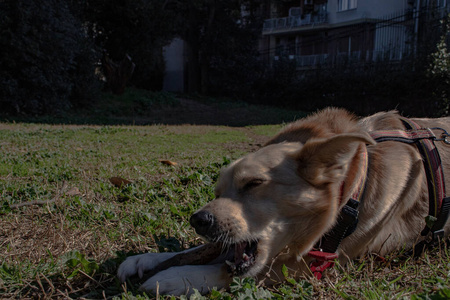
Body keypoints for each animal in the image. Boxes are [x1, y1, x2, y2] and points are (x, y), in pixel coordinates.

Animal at [117, 107, 450, 296]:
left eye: (253, 184)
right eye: (217, 193)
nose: (198, 219)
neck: (353, 186)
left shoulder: (316, 266)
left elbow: (230, 271)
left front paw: (173, 277)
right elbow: (202, 250)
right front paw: (146, 259)